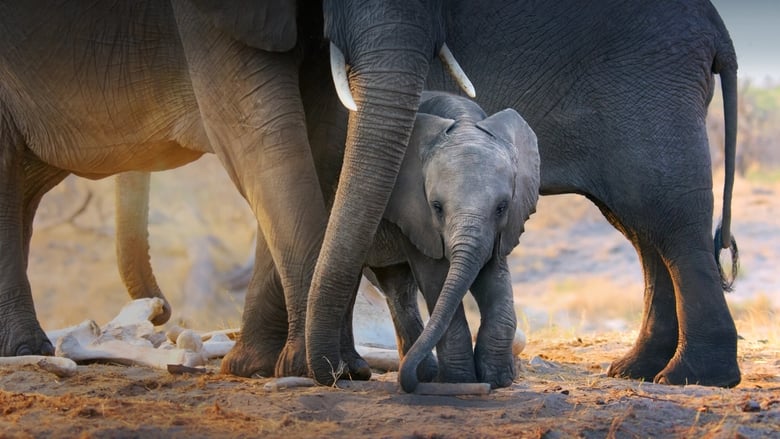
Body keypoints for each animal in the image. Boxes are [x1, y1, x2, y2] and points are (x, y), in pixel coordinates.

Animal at [112, 91, 539, 390]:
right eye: (436, 206)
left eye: (503, 207)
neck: (464, 120)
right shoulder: (415, 213)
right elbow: (437, 278)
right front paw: (464, 381)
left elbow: (494, 277)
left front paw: (497, 379)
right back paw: (369, 371)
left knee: (395, 287)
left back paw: (415, 371)